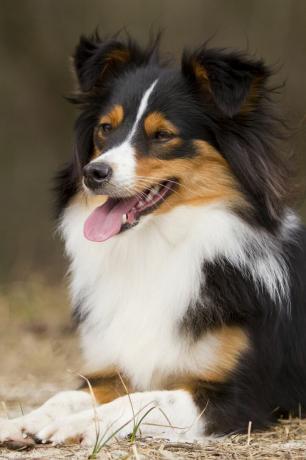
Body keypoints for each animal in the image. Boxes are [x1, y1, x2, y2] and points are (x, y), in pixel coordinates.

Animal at [0, 33, 306, 446]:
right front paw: (23, 420)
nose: (93, 173)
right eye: (105, 129)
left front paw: (78, 425)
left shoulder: (238, 397)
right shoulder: (117, 369)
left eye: (162, 135)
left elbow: (147, 400)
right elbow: (67, 396)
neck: (158, 246)